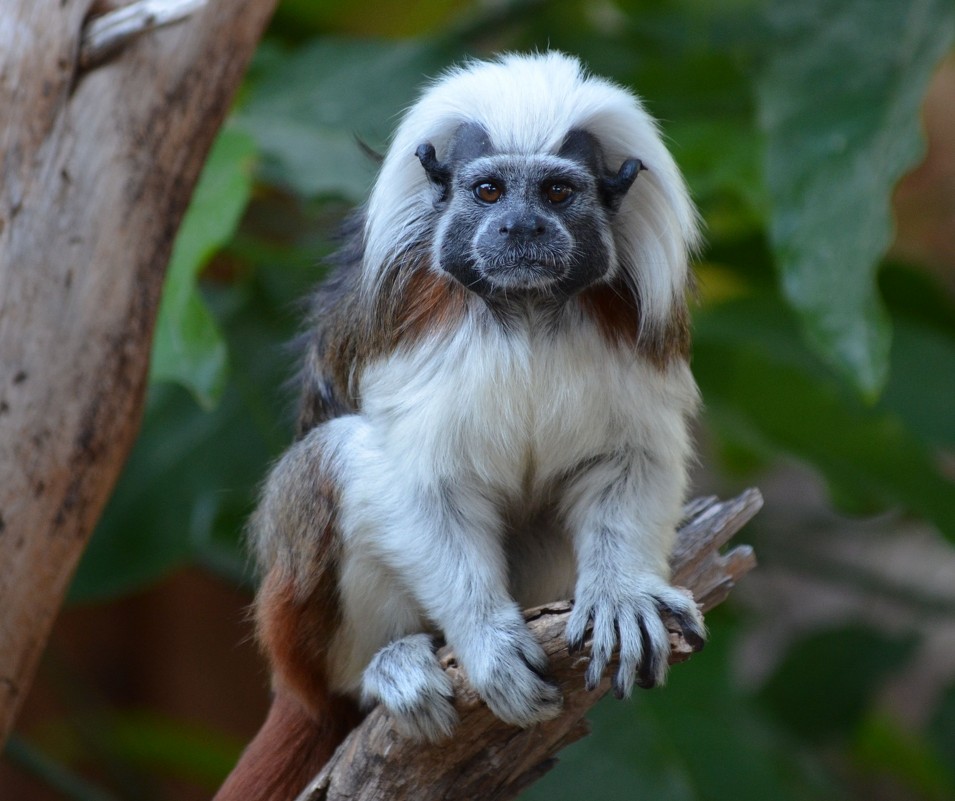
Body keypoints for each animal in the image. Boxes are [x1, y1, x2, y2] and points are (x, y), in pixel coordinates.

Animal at [218, 51, 708, 800]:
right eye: (487, 191)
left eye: (557, 193)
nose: (521, 228)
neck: (527, 311)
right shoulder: (417, 336)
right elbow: (420, 488)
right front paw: (487, 645)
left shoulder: (633, 334)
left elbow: (630, 460)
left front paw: (620, 596)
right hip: (297, 635)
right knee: (329, 463)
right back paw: (388, 669)